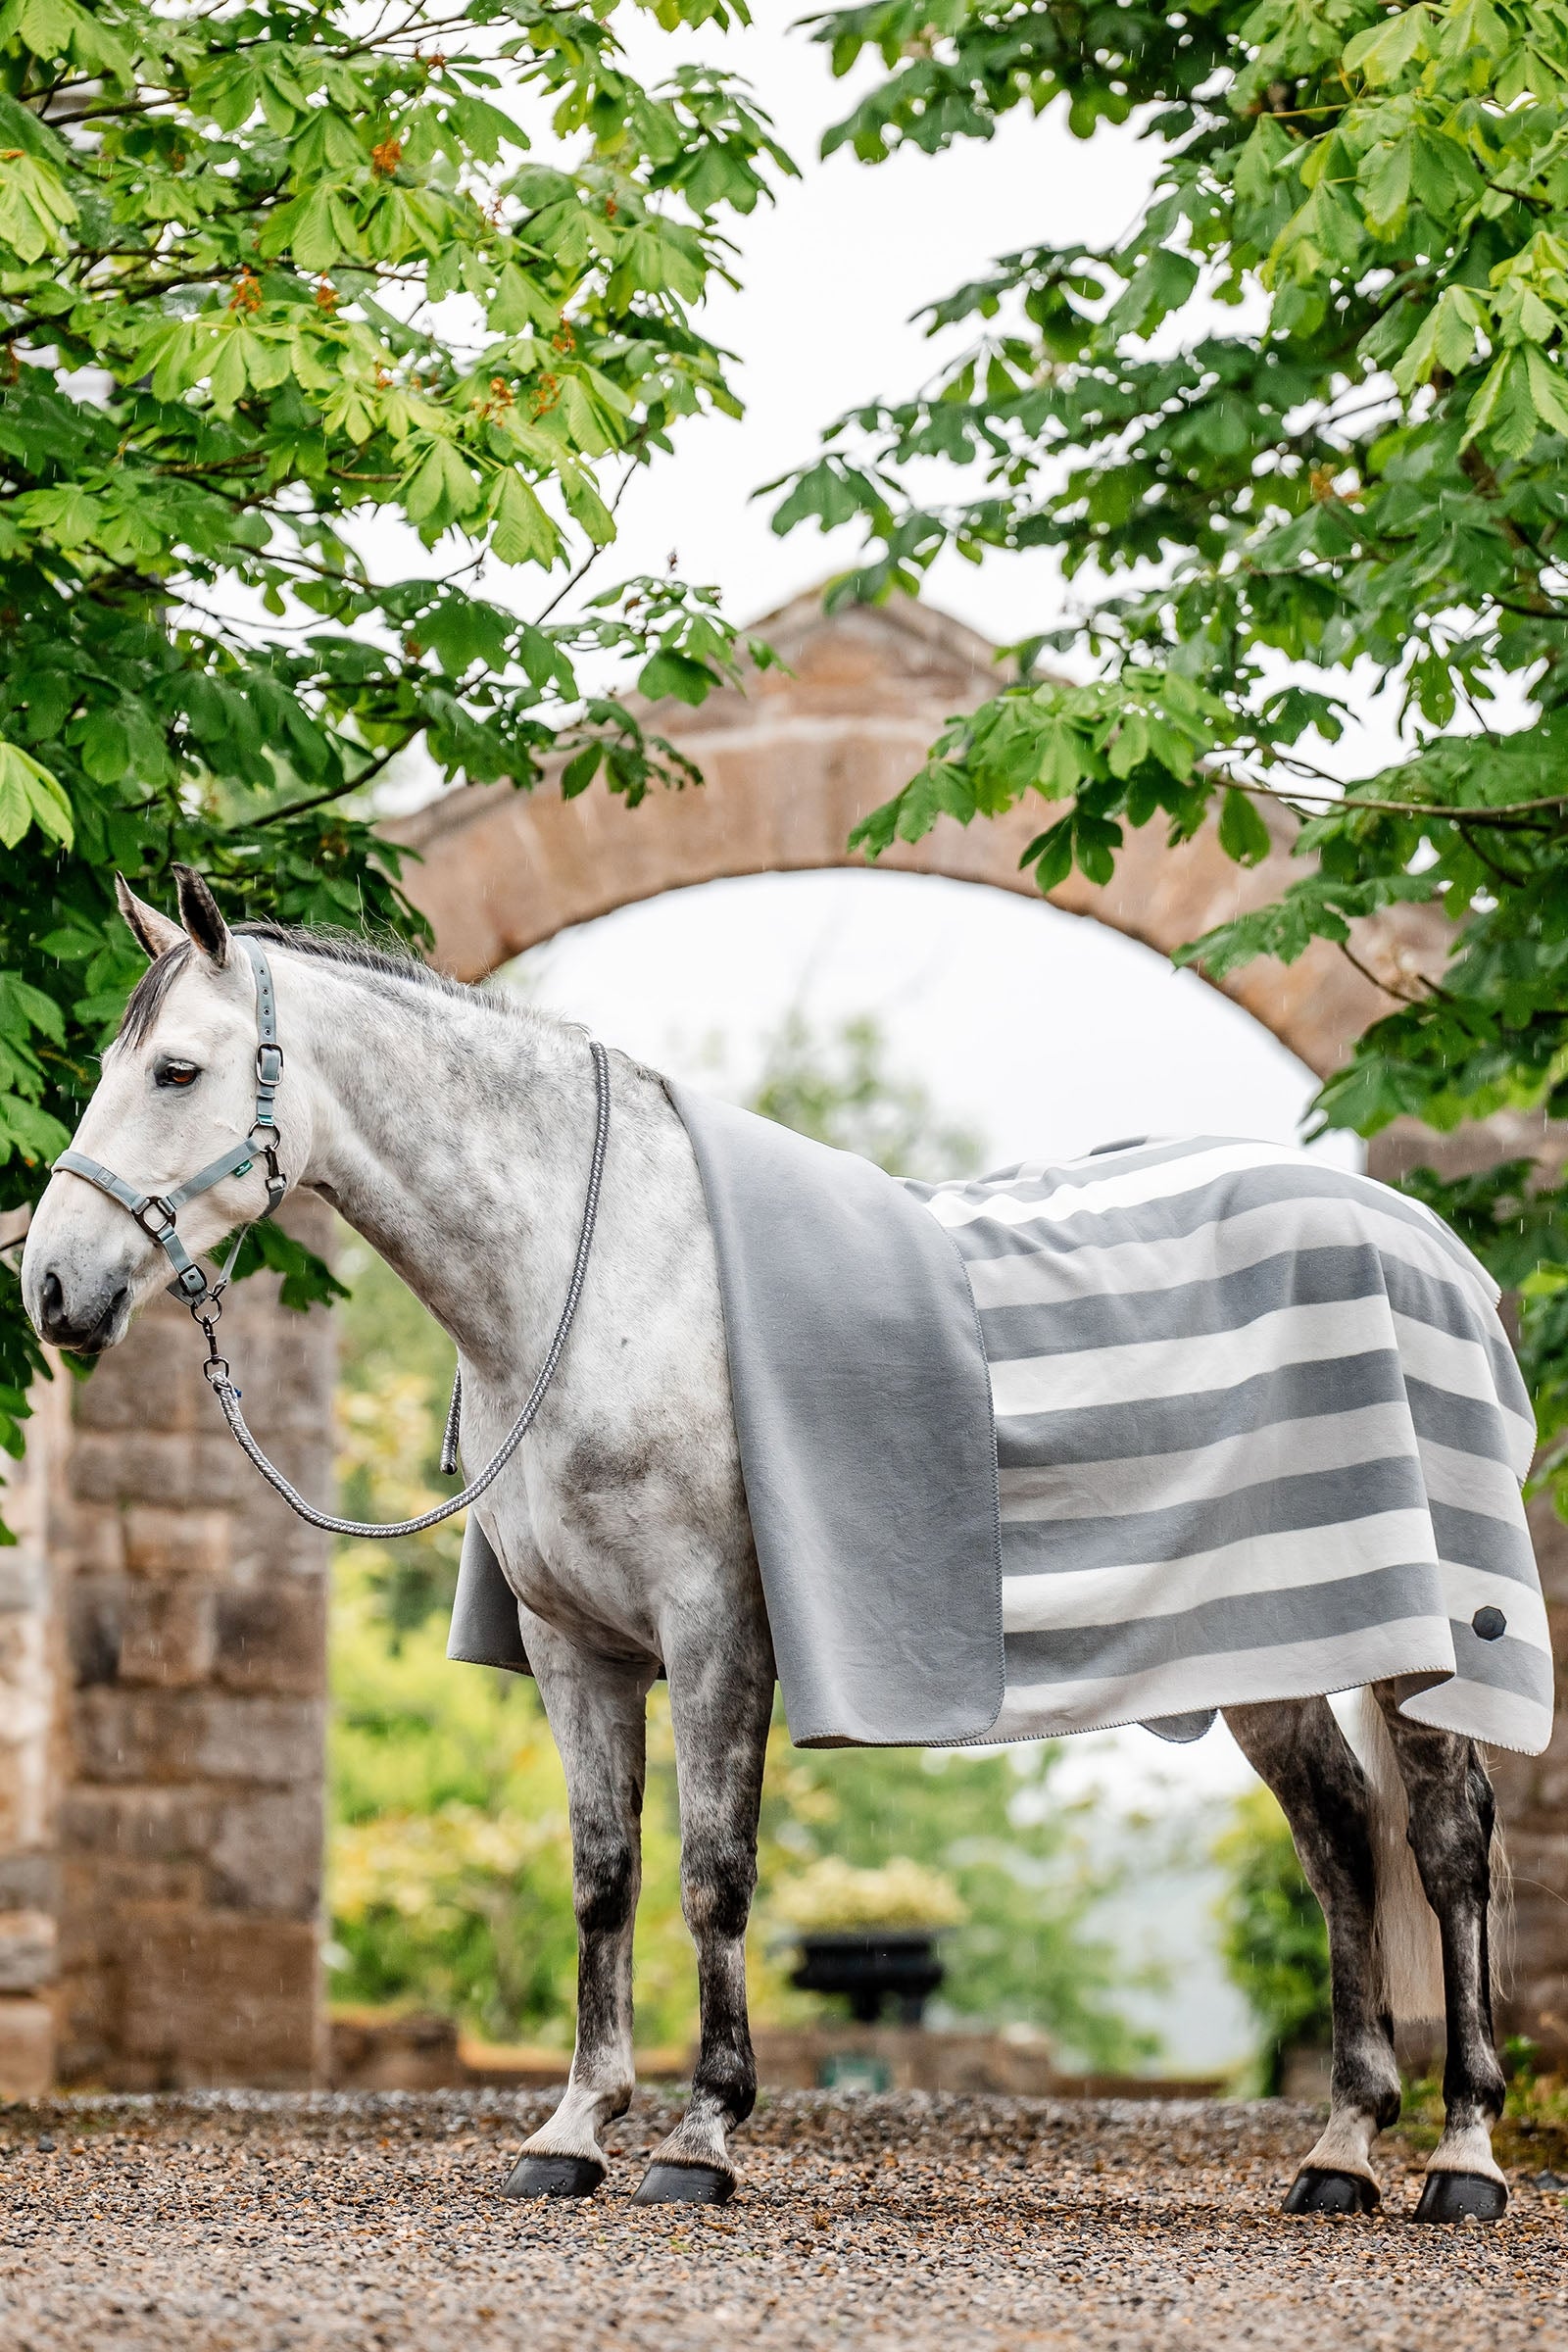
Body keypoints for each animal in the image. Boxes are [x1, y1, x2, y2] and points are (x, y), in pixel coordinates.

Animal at [20, 868, 1515, 2222]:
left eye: (177, 1070)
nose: (50, 1286)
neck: (599, 1278)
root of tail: (1429, 1241)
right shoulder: (575, 1649)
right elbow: (603, 1878)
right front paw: (573, 2131)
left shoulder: (716, 1631)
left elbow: (712, 1874)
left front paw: (703, 2136)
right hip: (1272, 1644)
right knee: (1339, 1840)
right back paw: (1340, 2151)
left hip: (1425, 1645)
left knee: (1443, 1846)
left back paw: (1462, 2156)